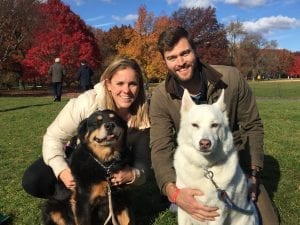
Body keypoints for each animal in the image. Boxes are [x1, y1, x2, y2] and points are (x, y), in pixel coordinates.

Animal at [173, 89, 258, 225]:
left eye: (214, 125)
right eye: (195, 125)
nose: (205, 143)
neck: (205, 168)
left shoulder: (218, 211)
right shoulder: (184, 209)